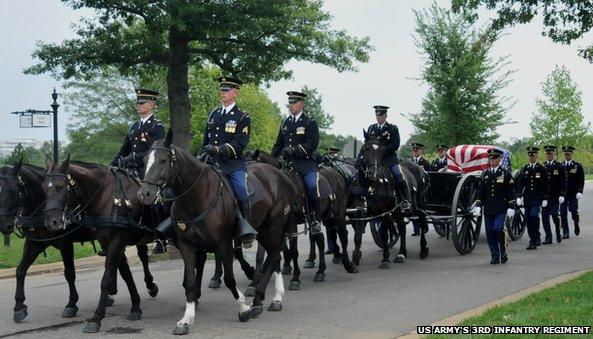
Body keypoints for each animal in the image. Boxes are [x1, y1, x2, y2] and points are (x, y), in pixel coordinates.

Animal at [43, 158, 160, 334]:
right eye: (44, 187)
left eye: (60, 186)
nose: (52, 222)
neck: (107, 196)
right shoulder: (109, 242)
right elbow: (125, 273)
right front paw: (135, 306)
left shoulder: (117, 240)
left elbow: (106, 279)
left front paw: (96, 318)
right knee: (143, 257)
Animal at [139, 132, 296, 334]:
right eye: (144, 161)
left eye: (164, 160)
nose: (144, 194)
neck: (197, 196)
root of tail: (281, 176)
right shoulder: (187, 245)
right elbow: (190, 281)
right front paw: (186, 319)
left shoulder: (224, 243)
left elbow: (229, 278)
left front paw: (243, 308)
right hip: (263, 230)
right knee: (274, 256)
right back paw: (272, 298)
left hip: (273, 226)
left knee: (274, 254)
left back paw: (261, 298)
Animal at [354, 133, 428, 268]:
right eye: (366, 149)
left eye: (381, 152)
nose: (373, 173)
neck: (371, 185)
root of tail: (421, 169)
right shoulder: (361, 213)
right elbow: (358, 235)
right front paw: (355, 258)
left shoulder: (384, 213)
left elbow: (384, 235)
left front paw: (385, 259)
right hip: (398, 211)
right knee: (402, 229)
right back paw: (402, 254)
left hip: (419, 205)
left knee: (421, 224)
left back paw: (423, 250)